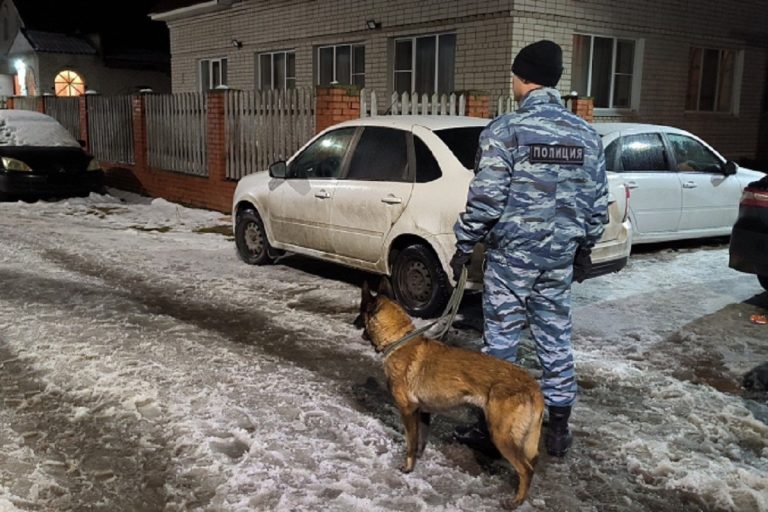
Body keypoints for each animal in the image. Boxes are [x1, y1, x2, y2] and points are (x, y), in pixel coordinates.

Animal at [356, 278, 544, 506]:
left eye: (361, 310)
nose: (354, 322)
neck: (399, 340)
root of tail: (532, 385)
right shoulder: (423, 412)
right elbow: (420, 440)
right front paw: (419, 460)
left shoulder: (408, 411)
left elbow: (410, 443)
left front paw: (408, 468)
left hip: (501, 435)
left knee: (526, 469)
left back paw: (517, 501)